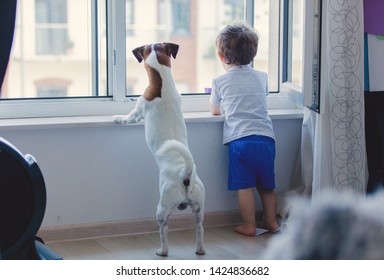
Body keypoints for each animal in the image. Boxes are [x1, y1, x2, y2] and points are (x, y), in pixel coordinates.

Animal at [112, 42, 206, 258]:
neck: (163, 84)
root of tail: (185, 174)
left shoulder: (137, 111)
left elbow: (128, 117)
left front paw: (117, 118)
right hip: (199, 208)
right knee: (200, 229)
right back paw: (200, 249)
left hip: (162, 209)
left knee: (164, 232)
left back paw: (162, 251)